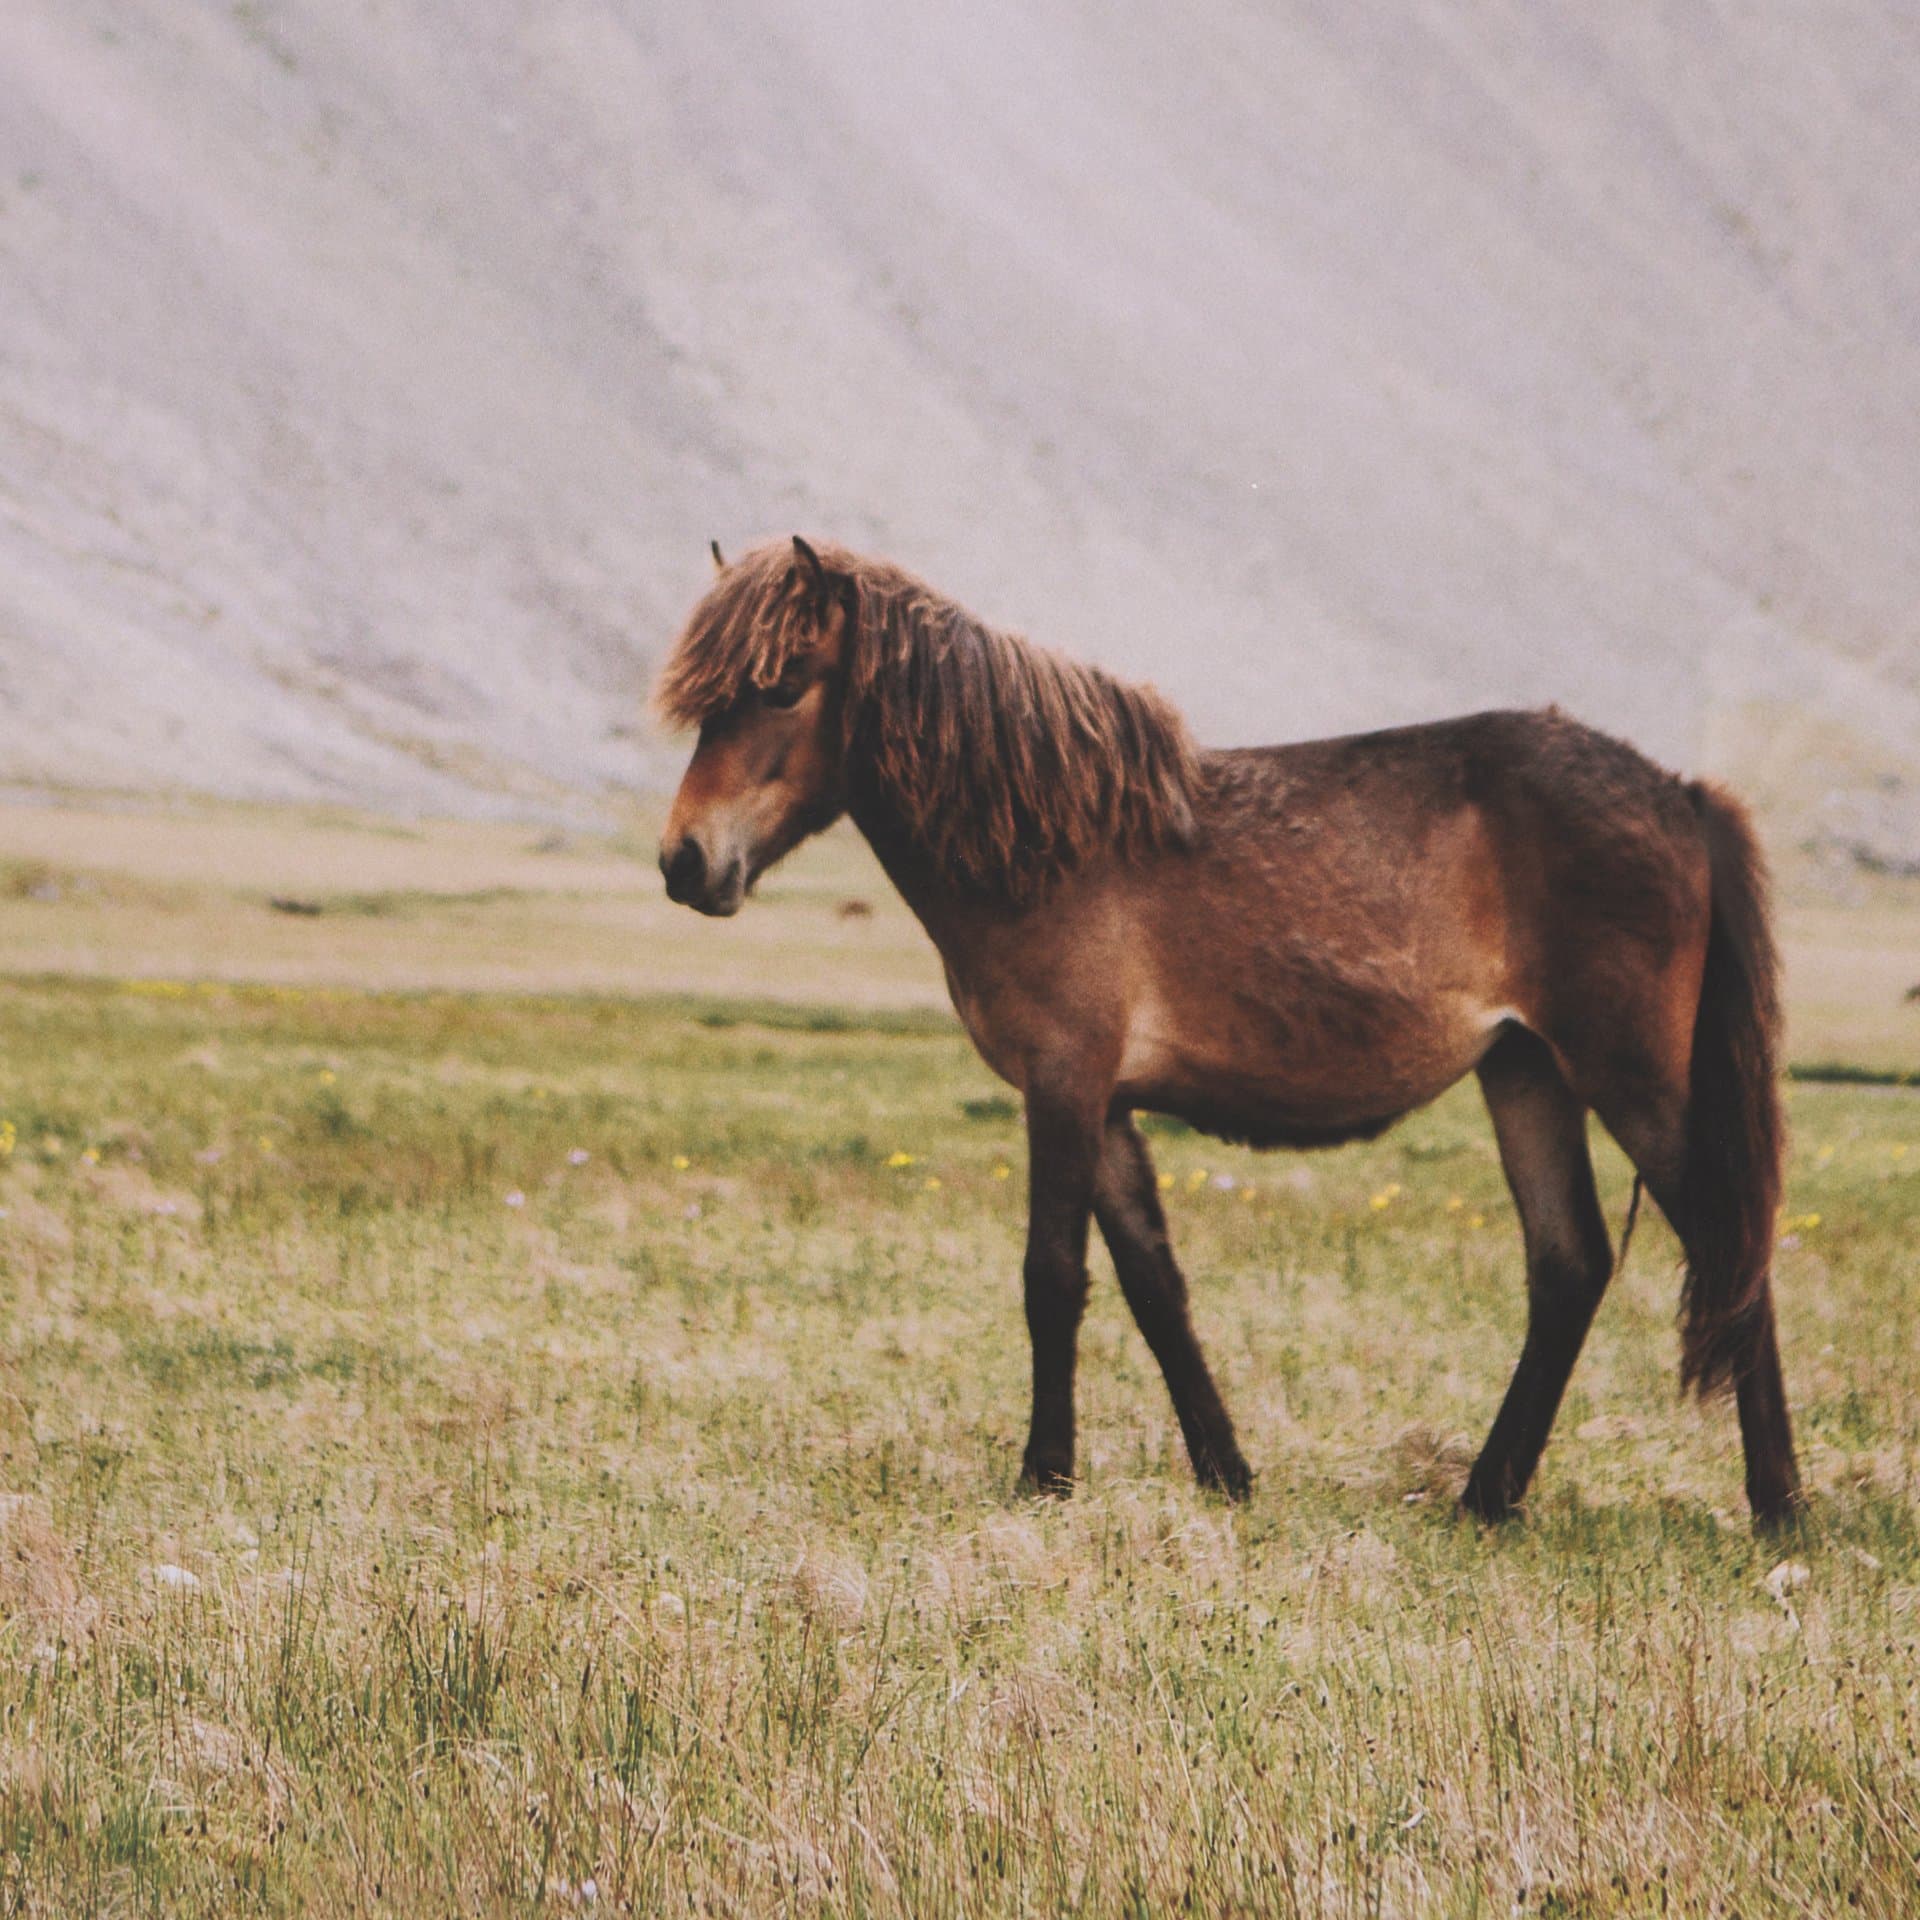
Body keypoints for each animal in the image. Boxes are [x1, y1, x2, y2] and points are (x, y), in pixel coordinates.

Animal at [654, 535, 1802, 1530]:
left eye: (781, 685)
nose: (684, 861)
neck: (1045, 842)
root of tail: (1679, 793)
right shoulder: (1108, 1106)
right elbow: (1155, 1288)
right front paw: (1226, 1472)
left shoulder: (1064, 1085)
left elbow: (1051, 1279)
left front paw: (1044, 1476)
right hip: (1527, 1073)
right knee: (1570, 1266)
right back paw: (1487, 1498)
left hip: (1629, 1080)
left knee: (1729, 1246)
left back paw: (1777, 1507)